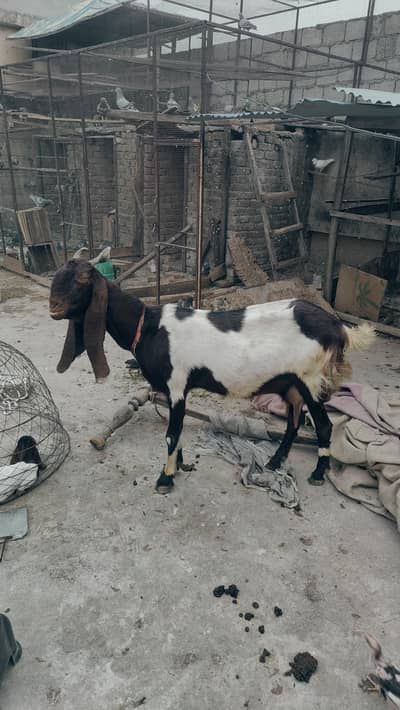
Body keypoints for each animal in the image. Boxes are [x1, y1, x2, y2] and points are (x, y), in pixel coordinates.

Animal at [49, 259, 375, 494]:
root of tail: (338, 327)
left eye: (82, 280)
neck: (150, 327)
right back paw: (273, 462)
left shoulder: (177, 385)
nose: (53, 308)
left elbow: (171, 434)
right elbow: (176, 431)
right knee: (294, 423)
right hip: (292, 384)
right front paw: (179, 467)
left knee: (323, 425)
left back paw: (318, 474)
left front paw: (165, 479)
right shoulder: (170, 390)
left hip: (311, 380)